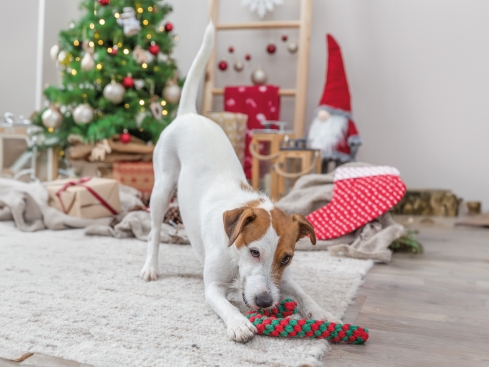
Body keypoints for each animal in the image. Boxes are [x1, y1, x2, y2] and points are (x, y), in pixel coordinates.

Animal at [141, 22, 340, 344]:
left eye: (286, 258)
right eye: (254, 252)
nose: (265, 302)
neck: (235, 252)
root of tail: (188, 115)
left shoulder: (284, 278)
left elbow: (302, 292)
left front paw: (320, 312)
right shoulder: (212, 288)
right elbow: (225, 304)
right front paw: (239, 322)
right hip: (161, 188)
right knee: (154, 232)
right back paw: (150, 266)